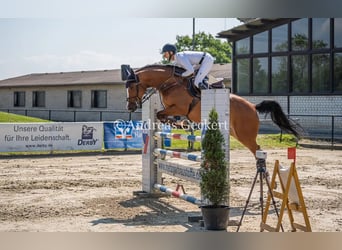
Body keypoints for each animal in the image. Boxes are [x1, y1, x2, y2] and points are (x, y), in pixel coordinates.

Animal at [123, 63, 302, 157]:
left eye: (131, 87)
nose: (130, 107)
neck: (170, 82)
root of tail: (252, 107)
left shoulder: (179, 107)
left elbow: (162, 114)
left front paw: (180, 124)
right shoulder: (171, 108)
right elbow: (161, 114)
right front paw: (181, 124)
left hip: (245, 134)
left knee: (257, 149)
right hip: (235, 133)